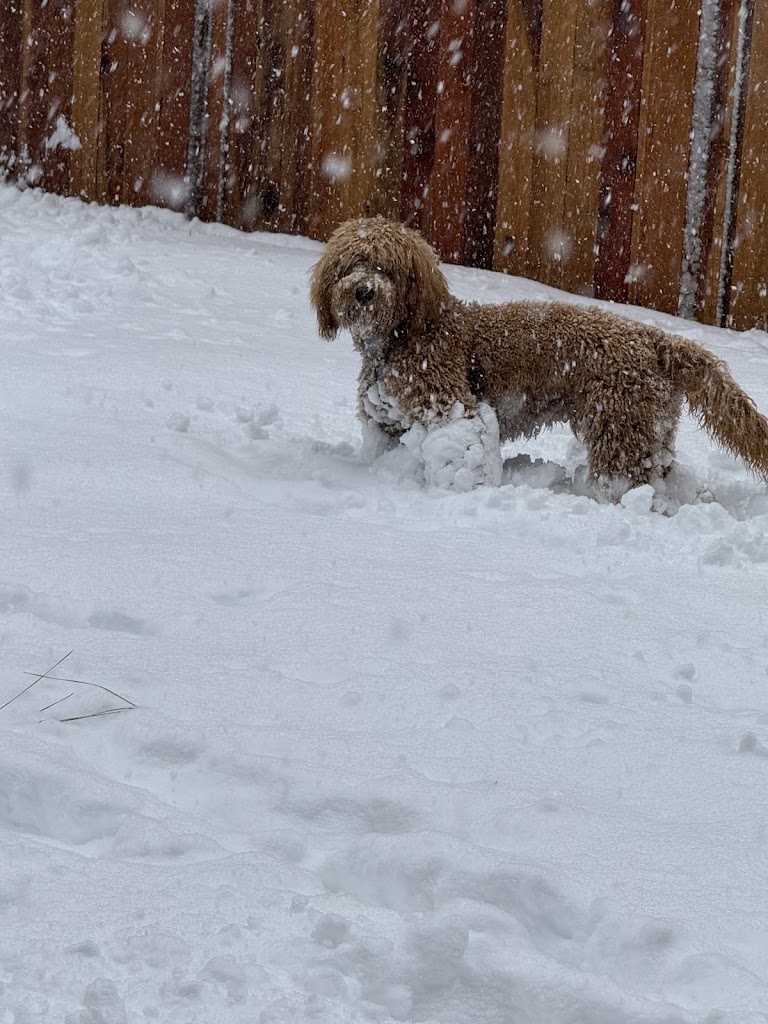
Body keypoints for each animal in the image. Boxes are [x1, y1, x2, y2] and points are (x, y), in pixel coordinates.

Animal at [310, 216, 768, 499]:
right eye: (351, 264)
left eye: (385, 267)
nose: (364, 291)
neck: (402, 337)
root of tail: (654, 338)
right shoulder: (387, 424)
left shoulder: (455, 409)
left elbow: (464, 455)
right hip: (648, 430)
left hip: (618, 430)